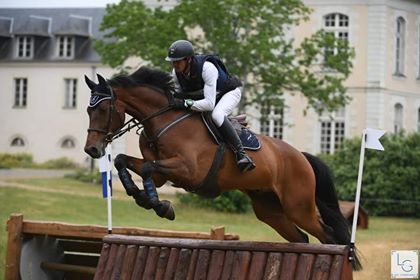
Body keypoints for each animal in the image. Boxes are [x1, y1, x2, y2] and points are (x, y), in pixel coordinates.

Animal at [84, 66, 360, 270]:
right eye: (88, 109)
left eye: (104, 108)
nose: (92, 150)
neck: (163, 121)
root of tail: (301, 157)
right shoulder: (163, 174)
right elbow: (124, 161)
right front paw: (143, 197)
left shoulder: (187, 171)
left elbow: (147, 169)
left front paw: (159, 205)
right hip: (269, 209)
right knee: (301, 238)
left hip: (298, 206)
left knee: (328, 235)